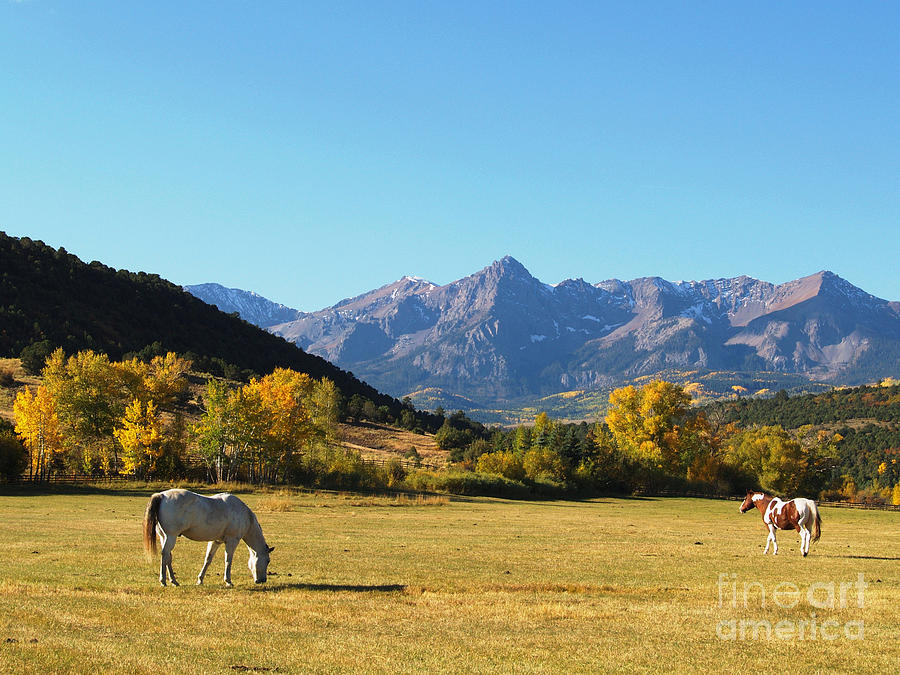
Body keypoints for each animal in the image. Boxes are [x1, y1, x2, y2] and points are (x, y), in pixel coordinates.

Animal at [141, 492, 272, 588]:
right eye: (268, 561)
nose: (263, 580)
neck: (244, 515)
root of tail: (161, 495)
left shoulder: (215, 541)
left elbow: (208, 560)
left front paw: (200, 580)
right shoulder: (232, 541)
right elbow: (228, 561)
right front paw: (228, 581)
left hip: (164, 537)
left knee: (168, 557)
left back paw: (174, 581)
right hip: (171, 536)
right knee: (165, 555)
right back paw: (163, 581)